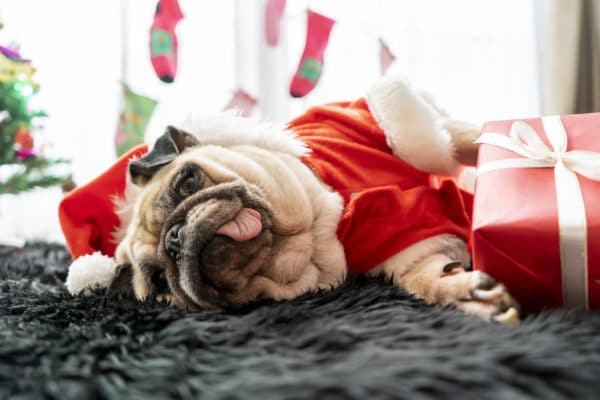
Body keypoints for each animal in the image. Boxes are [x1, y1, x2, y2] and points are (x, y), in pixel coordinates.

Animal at [109, 76, 520, 324]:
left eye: (188, 180)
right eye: (160, 283)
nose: (175, 237)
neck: (317, 236)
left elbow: (471, 142)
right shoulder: (403, 246)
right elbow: (422, 277)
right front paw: (464, 294)